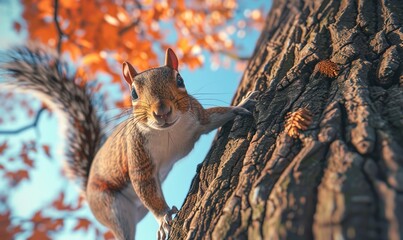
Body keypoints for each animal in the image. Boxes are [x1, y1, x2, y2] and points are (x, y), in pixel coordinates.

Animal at [0, 43, 258, 240]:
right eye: (133, 93)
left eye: (180, 79)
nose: (162, 111)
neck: (168, 132)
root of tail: (88, 187)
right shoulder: (136, 152)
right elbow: (145, 186)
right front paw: (164, 217)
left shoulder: (198, 118)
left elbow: (215, 117)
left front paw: (242, 105)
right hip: (111, 208)